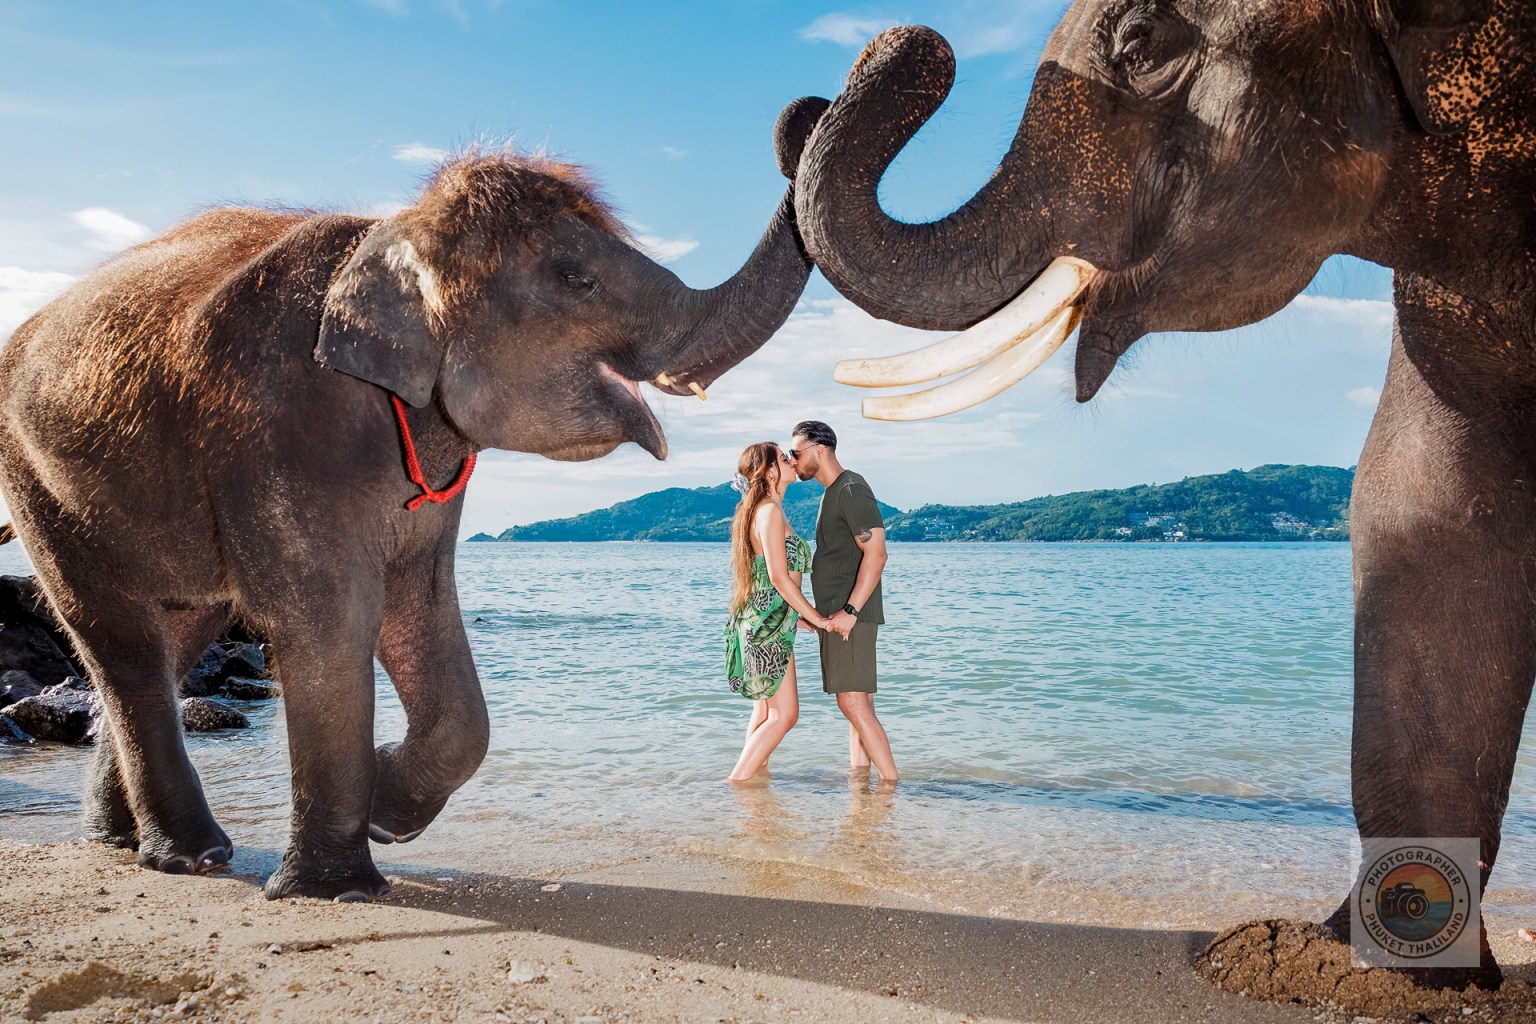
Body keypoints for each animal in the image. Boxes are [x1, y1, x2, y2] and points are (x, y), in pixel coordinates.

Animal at [0, 97, 827, 902]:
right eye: (576, 279)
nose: (805, 111)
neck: (393, 231)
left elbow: (420, 604)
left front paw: (385, 813)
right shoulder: (280, 429)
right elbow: (332, 615)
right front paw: (338, 889)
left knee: (180, 632)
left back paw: (125, 842)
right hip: (37, 482)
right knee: (121, 640)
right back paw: (192, 855)